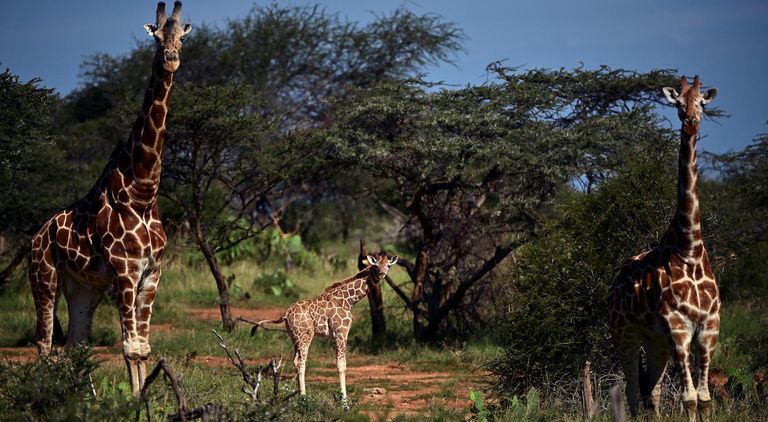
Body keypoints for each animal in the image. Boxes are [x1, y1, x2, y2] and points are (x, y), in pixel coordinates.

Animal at [28, 1, 191, 396]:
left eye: (181, 37)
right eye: (157, 37)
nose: (171, 59)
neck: (142, 191)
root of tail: (35, 237)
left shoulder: (152, 273)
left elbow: (142, 346)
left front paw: (141, 398)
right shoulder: (125, 271)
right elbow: (130, 347)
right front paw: (134, 401)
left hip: (84, 288)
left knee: (76, 343)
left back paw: (84, 398)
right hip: (44, 278)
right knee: (44, 342)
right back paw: (47, 395)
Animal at [254, 252, 398, 408]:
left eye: (388, 265)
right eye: (376, 265)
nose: (382, 274)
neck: (348, 300)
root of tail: (286, 314)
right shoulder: (341, 332)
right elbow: (341, 365)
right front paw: (345, 404)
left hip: (294, 337)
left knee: (294, 361)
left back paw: (297, 396)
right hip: (305, 335)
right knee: (300, 362)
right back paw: (303, 399)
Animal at [607, 75, 719, 421]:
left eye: (702, 102)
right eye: (678, 103)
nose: (691, 122)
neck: (690, 248)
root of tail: (613, 283)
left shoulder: (709, 328)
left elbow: (705, 399)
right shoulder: (679, 327)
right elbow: (690, 398)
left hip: (655, 340)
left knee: (652, 391)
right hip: (625, 334)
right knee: (632, 389)